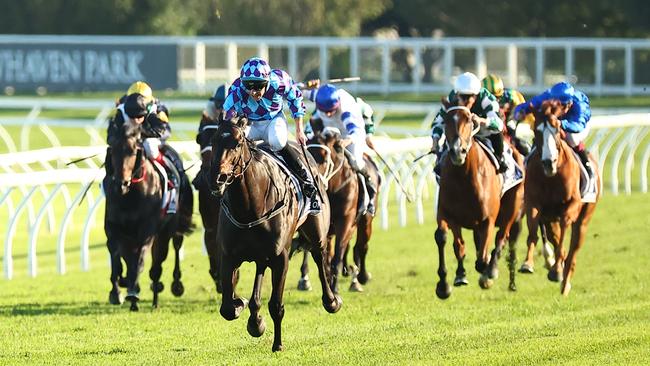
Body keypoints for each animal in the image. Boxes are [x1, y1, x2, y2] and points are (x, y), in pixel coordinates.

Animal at [104, 118, 192, 310]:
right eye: (112, 150)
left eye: (132, 151)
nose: (120, 184)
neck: (130, 196)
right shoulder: (114, 228)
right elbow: (116, 257)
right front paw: (116, 291)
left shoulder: (147, 231)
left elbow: (139, 261)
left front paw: (132, 292)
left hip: (169, 230)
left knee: (166, 256)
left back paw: (165, 291)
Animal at [210, 114, 342, 352]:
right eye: (214, 140)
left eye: (237, 143)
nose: (218, 178)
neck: (249, 208)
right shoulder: (229, 255)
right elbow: (227, 308)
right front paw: (243, 307)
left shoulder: (281, 258)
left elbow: (276, 305)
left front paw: (277, 344)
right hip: (262, 254)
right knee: (260, 274)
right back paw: (255, 320)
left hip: (316, 232)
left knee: (319, 258)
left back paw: (332, 301)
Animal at [298, 127, 380, 294]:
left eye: (324, 158)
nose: (308, 181)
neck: (333, 189)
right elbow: (323, 256)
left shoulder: (345, 221)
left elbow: (337, 255)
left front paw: (335, 289)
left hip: (366, 221)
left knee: (361, 246)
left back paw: (360, 277)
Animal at [432, 101, 524, 300]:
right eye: (446, 120)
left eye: (468, 120)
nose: (457, 151)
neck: (464, 178)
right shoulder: (447, 213)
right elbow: (448, 240)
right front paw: (445, 284)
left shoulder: (488, 219)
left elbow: (482, 258)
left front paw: (487, 273)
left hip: (512, 208)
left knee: (501, 238)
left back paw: (491, 271)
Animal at [520, 101, 596, 296]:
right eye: (537, 131)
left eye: (557, 130)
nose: (549, 163)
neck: (552, 178)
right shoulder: (533, 202)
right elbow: (533, 231)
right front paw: (528, 263)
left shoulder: (572, 205)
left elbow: (563, 233)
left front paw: (557, 271)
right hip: (549, 219)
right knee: (554, 237)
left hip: (583, 221)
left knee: (573, 251)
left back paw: (564, 281)